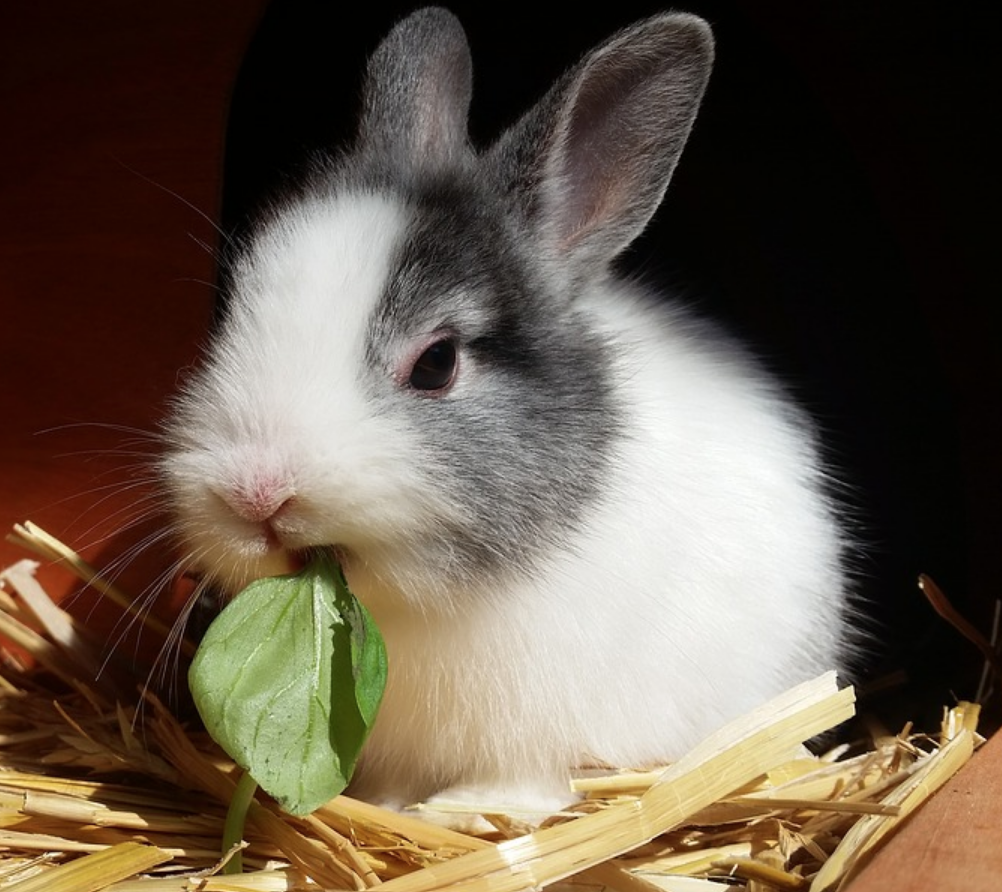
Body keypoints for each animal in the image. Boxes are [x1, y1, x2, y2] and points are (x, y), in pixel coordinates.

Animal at [160, 7, 850, 824]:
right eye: (234, 312)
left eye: (436, 363)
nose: (255, 495)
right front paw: (393, 806)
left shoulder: (544, 734)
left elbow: (527, 783)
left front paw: (456, 812)